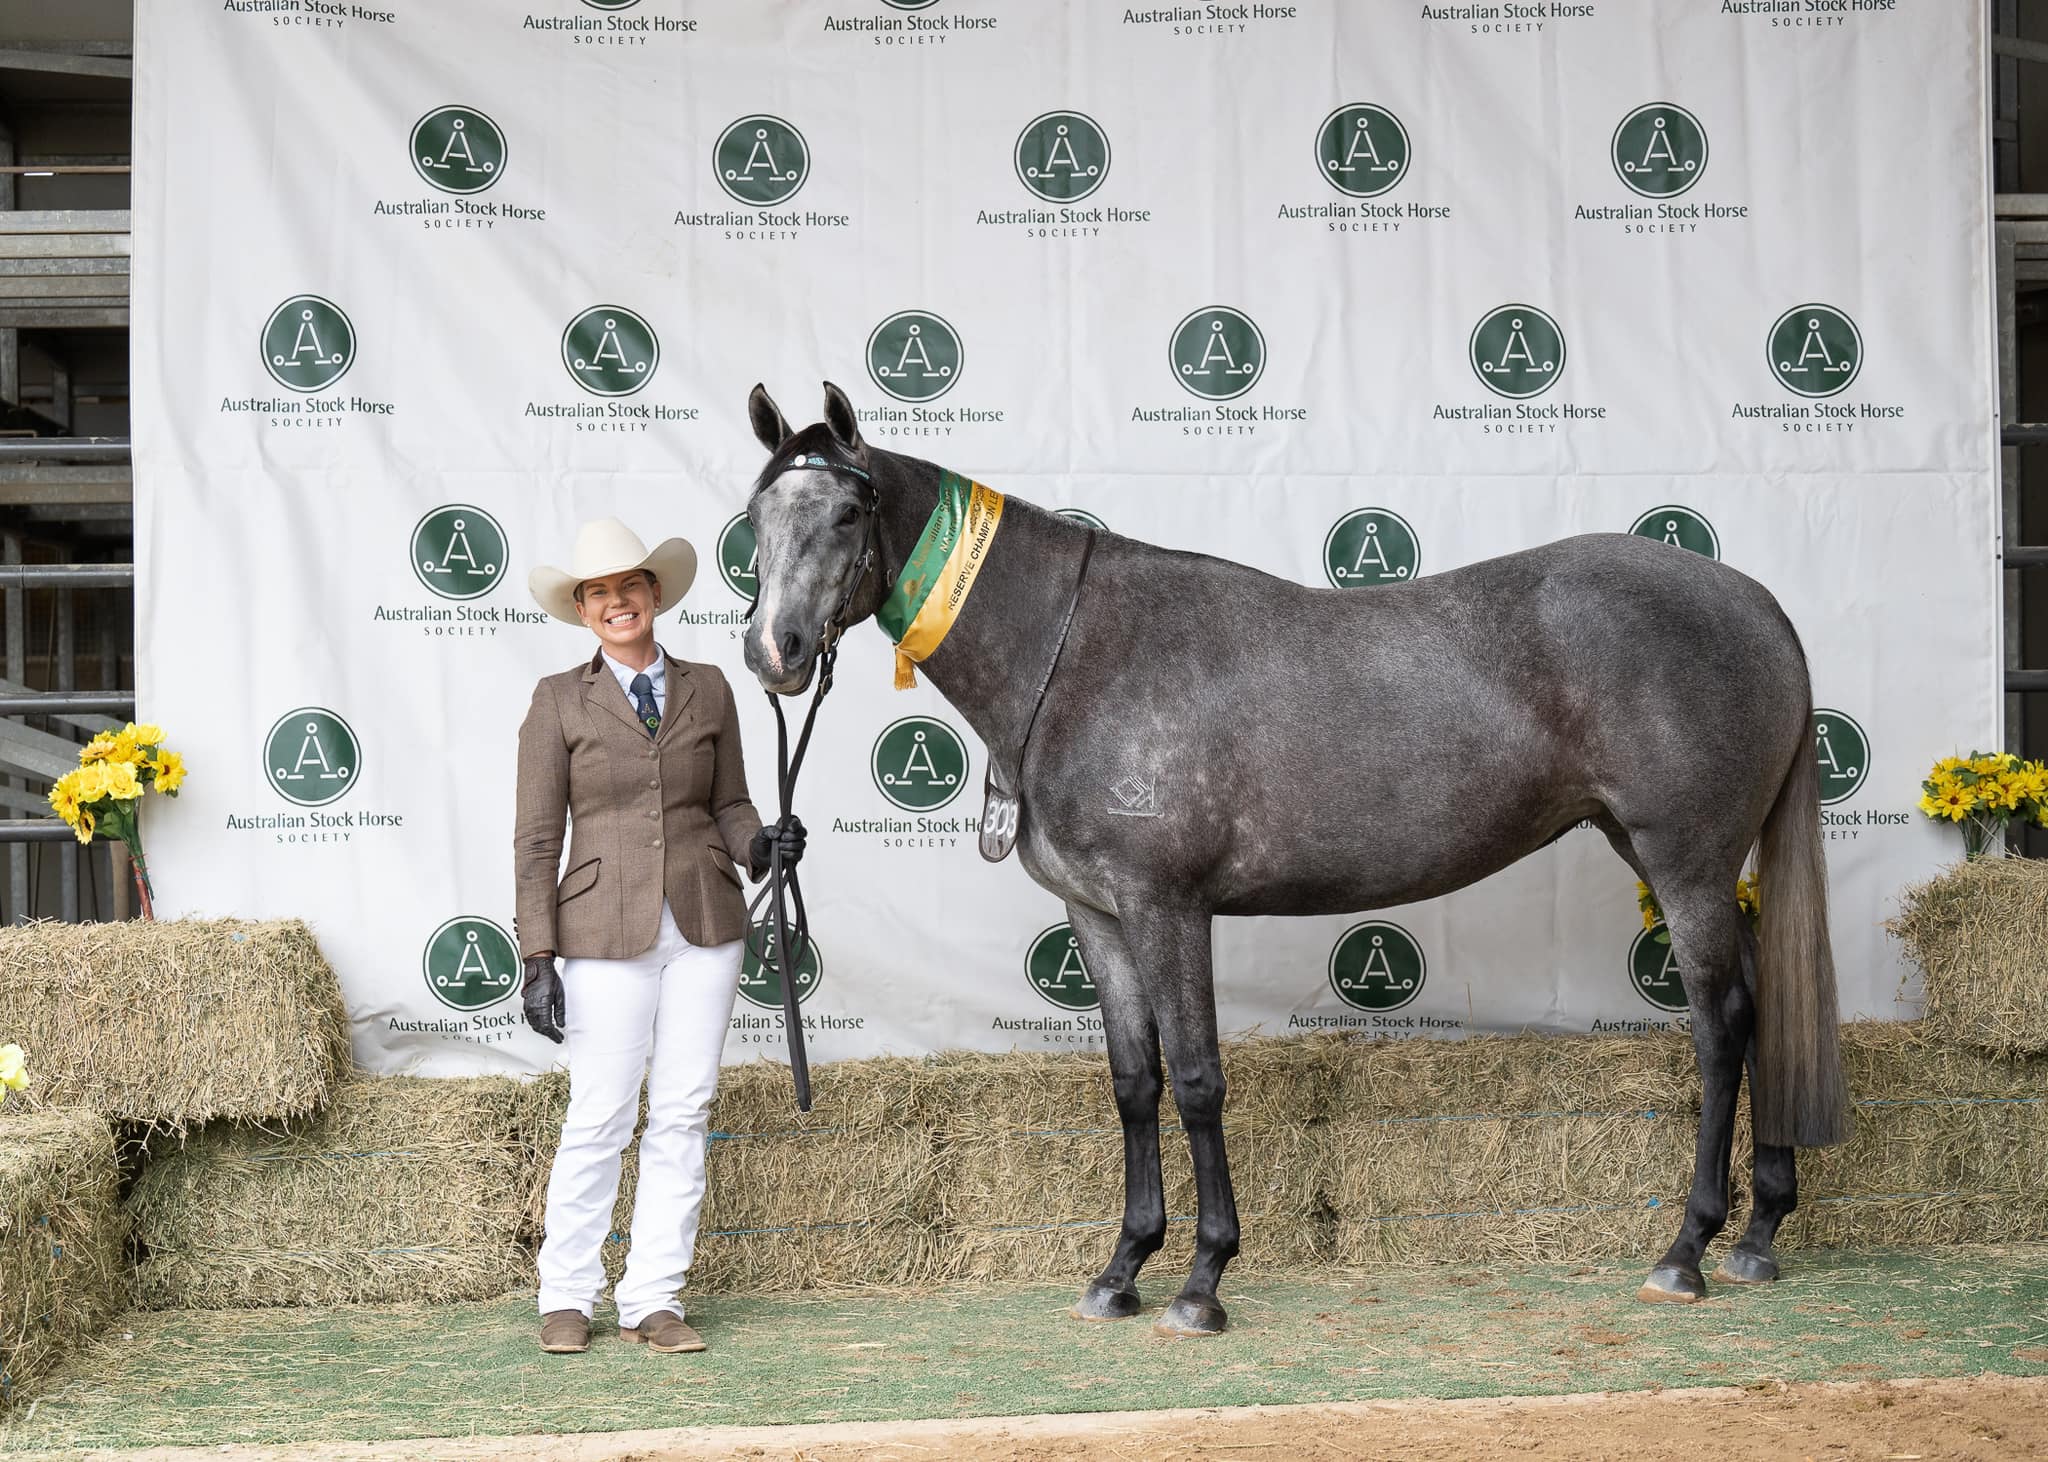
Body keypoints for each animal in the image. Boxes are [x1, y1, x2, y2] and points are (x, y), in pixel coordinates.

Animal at [739, 381, 1848, 1337]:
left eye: (849, 512)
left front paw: (1200, 1282)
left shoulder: (1167, 906)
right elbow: (1133, 1081)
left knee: (1723, 1023)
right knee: (1761, 1006)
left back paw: (1686, 1249)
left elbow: (1195, 1079)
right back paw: (1757, 1233)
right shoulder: (1098, 915)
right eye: (756, 516)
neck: (1076, 655)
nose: (774, 650)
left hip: (1686, 861)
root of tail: (1756, 601)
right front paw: (1120, 1271)